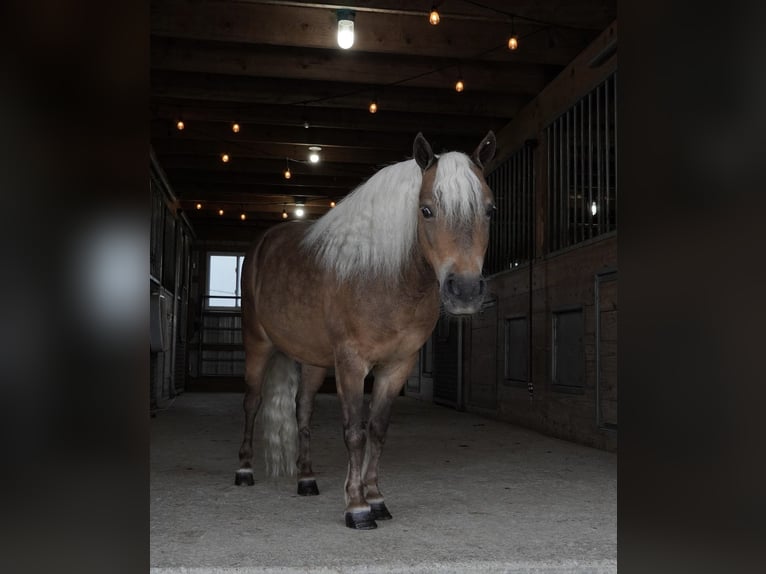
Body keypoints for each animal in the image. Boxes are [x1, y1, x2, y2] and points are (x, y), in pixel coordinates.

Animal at [234, 131, 497, 530]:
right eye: (426, 210)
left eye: (489, 210)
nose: (464, 291)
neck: (383, 278)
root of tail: (264, 244)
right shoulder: (352, 365)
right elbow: (355, 432)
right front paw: (356, 508)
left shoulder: (397, 366)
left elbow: (377, 430)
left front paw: (376, 499)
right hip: (257, 344)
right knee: (252, 403)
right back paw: (245, 471)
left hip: (312, 361)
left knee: (302, 411)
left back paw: (306, 479)